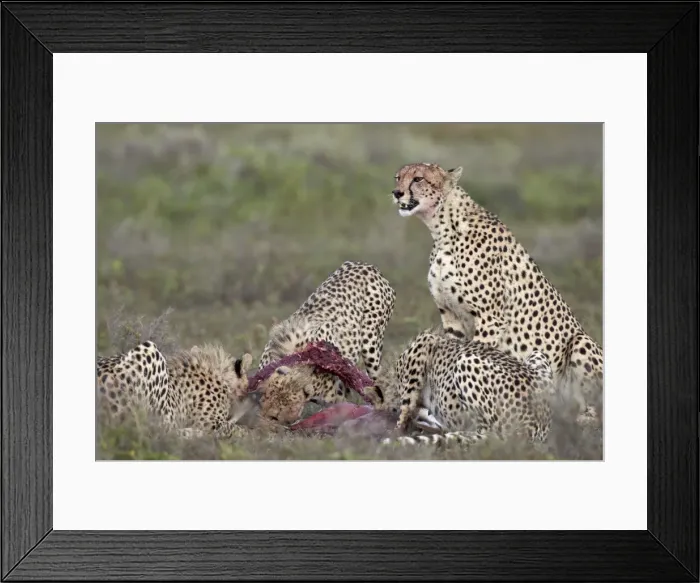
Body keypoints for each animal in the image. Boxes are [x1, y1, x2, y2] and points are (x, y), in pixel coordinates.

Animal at [390, 162, 603, 425]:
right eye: (398, 177)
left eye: (418, 179)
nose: (397, 193)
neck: (443, 230)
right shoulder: (450, 315)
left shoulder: (489, 318)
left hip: (579, 342)